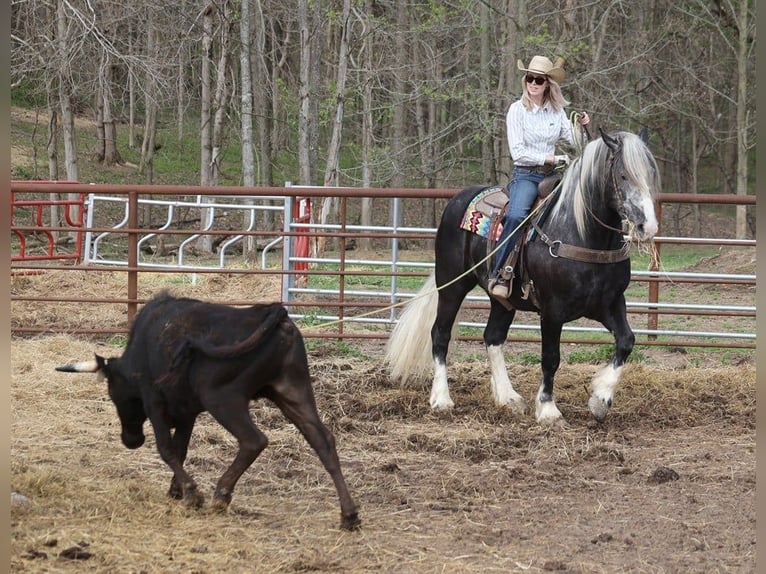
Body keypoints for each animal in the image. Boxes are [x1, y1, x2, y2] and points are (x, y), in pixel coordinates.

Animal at [384, 128, 660, 426]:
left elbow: (626, 341)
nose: (648, 226)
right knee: (440, 334)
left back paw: (508, 397)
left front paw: (600, 399)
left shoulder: (610, 303)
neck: (581, 232)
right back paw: (441, 398)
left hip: (502, 299)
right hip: (452, 285)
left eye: (651, 174)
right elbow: (551, 357)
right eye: (623, 175)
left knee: (493, 337)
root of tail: (458, 200)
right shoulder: (552, 311)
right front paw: (548, 410)